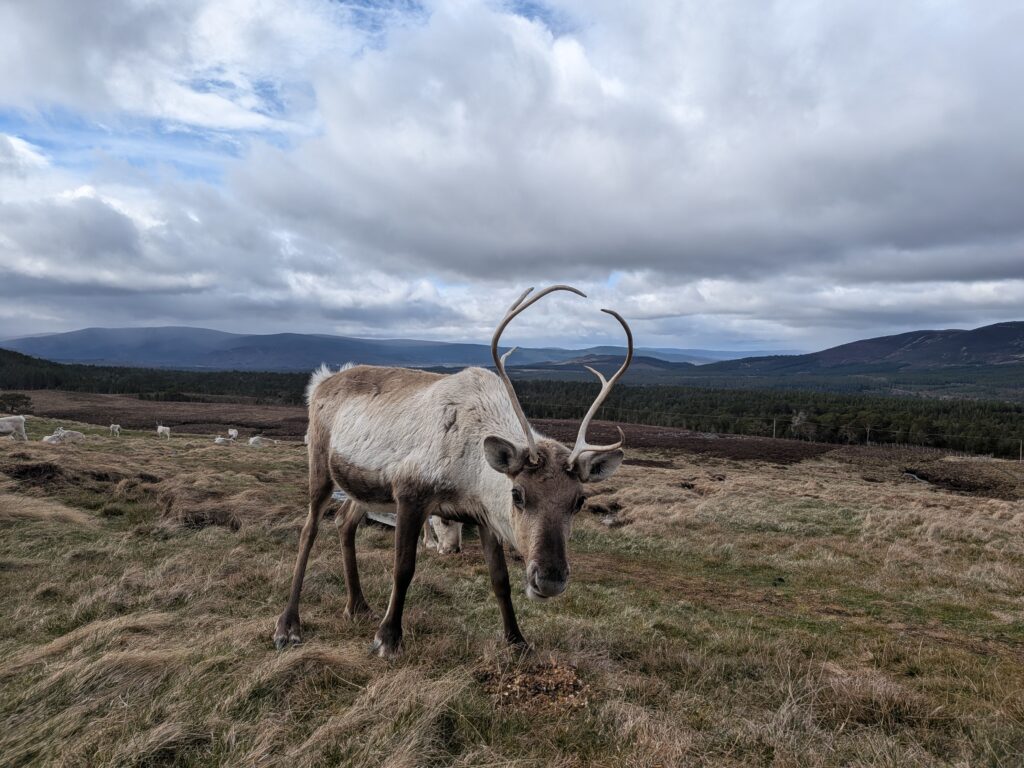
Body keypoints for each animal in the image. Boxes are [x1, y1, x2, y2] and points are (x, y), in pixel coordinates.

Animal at [273, 285, 633, 657]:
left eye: (579, 501)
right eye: (518, 494)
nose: (549, 580)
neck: (470, 468)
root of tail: (321, 382)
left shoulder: (483, 515)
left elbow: (500, 579)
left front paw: (517, 640)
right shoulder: (411, 494)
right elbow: (403, 568)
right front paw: (388, 637)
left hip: (365, 488)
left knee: (345, 522)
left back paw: (357, 606)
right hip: (320, 463)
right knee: (309, 530)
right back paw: (289, 626)